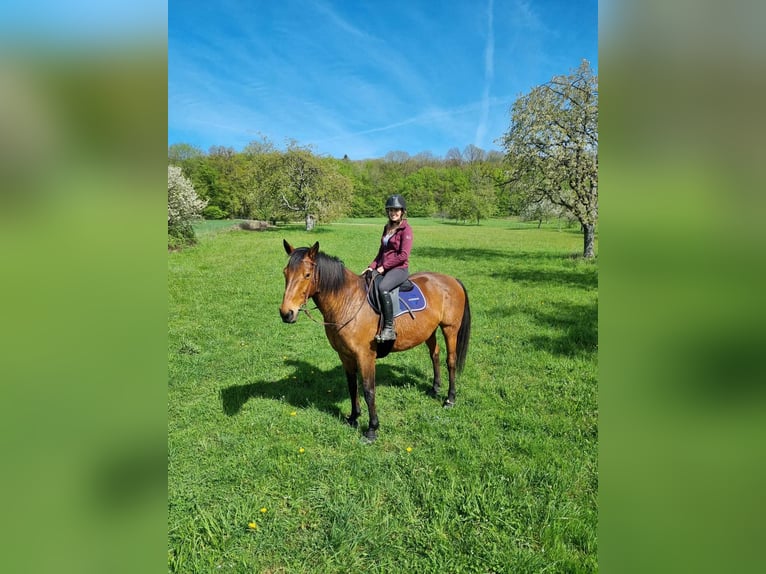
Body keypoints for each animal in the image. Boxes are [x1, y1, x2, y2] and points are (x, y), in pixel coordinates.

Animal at [280, 241, 472, 444]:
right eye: (285, 273)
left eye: (307, 275)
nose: (286, 313)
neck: (348, 302)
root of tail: (452, 280)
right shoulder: (345, 355)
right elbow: (352, 385)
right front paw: (353, 417)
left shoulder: (365, 356)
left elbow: (368, 390)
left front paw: (372, 429)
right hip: (429, 330)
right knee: (434, 355)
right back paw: (435, 389)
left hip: (450, 328)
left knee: (451, 361)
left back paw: (450, 399)